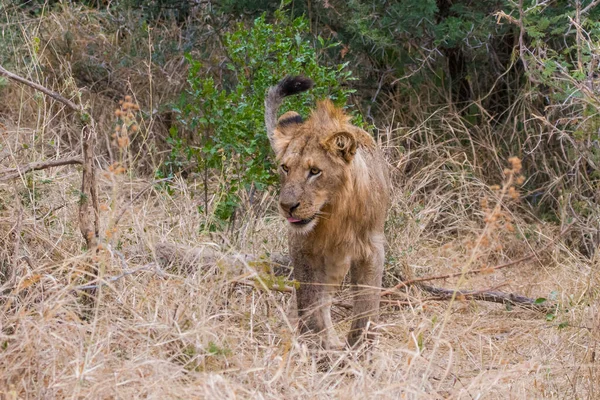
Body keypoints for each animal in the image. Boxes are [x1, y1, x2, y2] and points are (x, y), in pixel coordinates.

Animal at [264, 76, 392, 348]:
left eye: (315, 171)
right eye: (285, 168)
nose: (287, 206)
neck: (333, 213)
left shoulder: (372, 247)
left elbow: (366, 305)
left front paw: (360, 348)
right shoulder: (302, 246)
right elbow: (310, 301)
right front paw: (315, 344)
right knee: (316, 301)